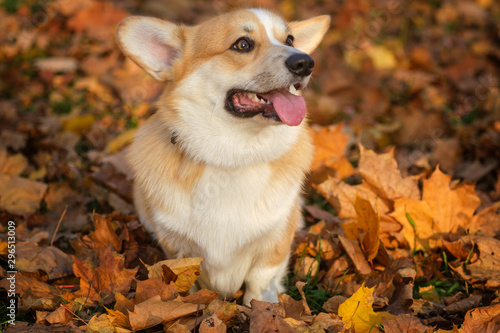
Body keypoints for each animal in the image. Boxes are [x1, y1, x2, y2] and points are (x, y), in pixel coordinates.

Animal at [115, 8, 330, 304]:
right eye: (243, 44)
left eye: (290, 39)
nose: (305, 62)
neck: (234, 154)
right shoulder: (178, 247)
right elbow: (187, 281)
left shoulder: (275, 239)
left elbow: (261, 280)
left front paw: (264, 306)